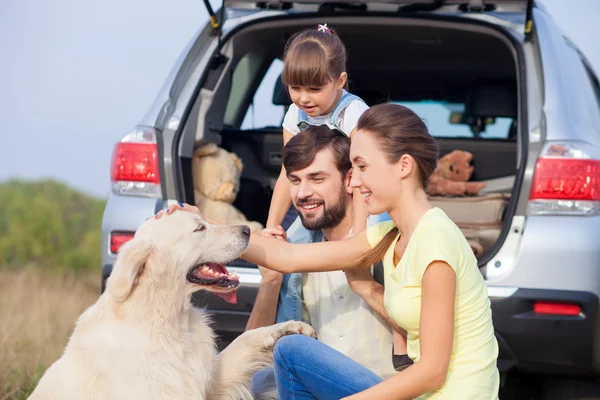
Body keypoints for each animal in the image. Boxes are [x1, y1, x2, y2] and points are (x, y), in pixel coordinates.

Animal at [29, 211, 314, 398]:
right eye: (199, 229)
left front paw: (289, 329)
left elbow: (245, 340)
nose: (246, 231)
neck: (170, 320)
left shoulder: (209, 381)